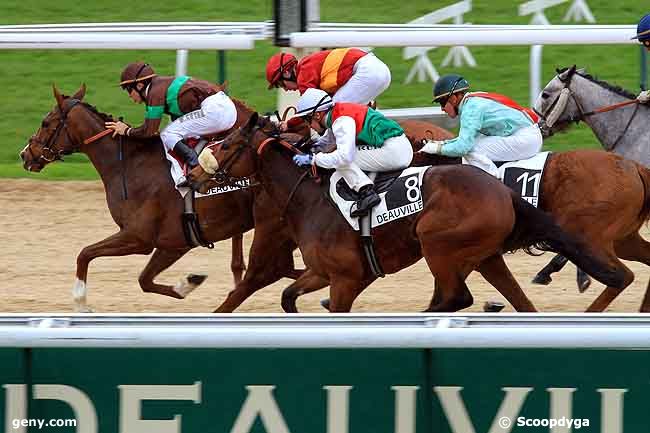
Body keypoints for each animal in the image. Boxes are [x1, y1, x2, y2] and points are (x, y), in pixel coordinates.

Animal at [20, 84, 302, 312]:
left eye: (46, 123)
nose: (25, 154)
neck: (127, 165)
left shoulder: (138, 237)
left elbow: (85, 253)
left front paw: (80, 304)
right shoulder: (175, 241)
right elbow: (144, 280)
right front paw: (188, 283)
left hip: (271, 227)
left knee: (270, 270)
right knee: (283, 267)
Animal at [187, 112, 624, 310]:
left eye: (227, 145)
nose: (192, 171)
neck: (308, 199)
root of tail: (502, 190)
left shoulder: (346, 278)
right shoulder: (324, 273)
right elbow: (287, 295)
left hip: (438, 244)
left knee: (455, 297)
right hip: (485, 256)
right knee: (512, 300)